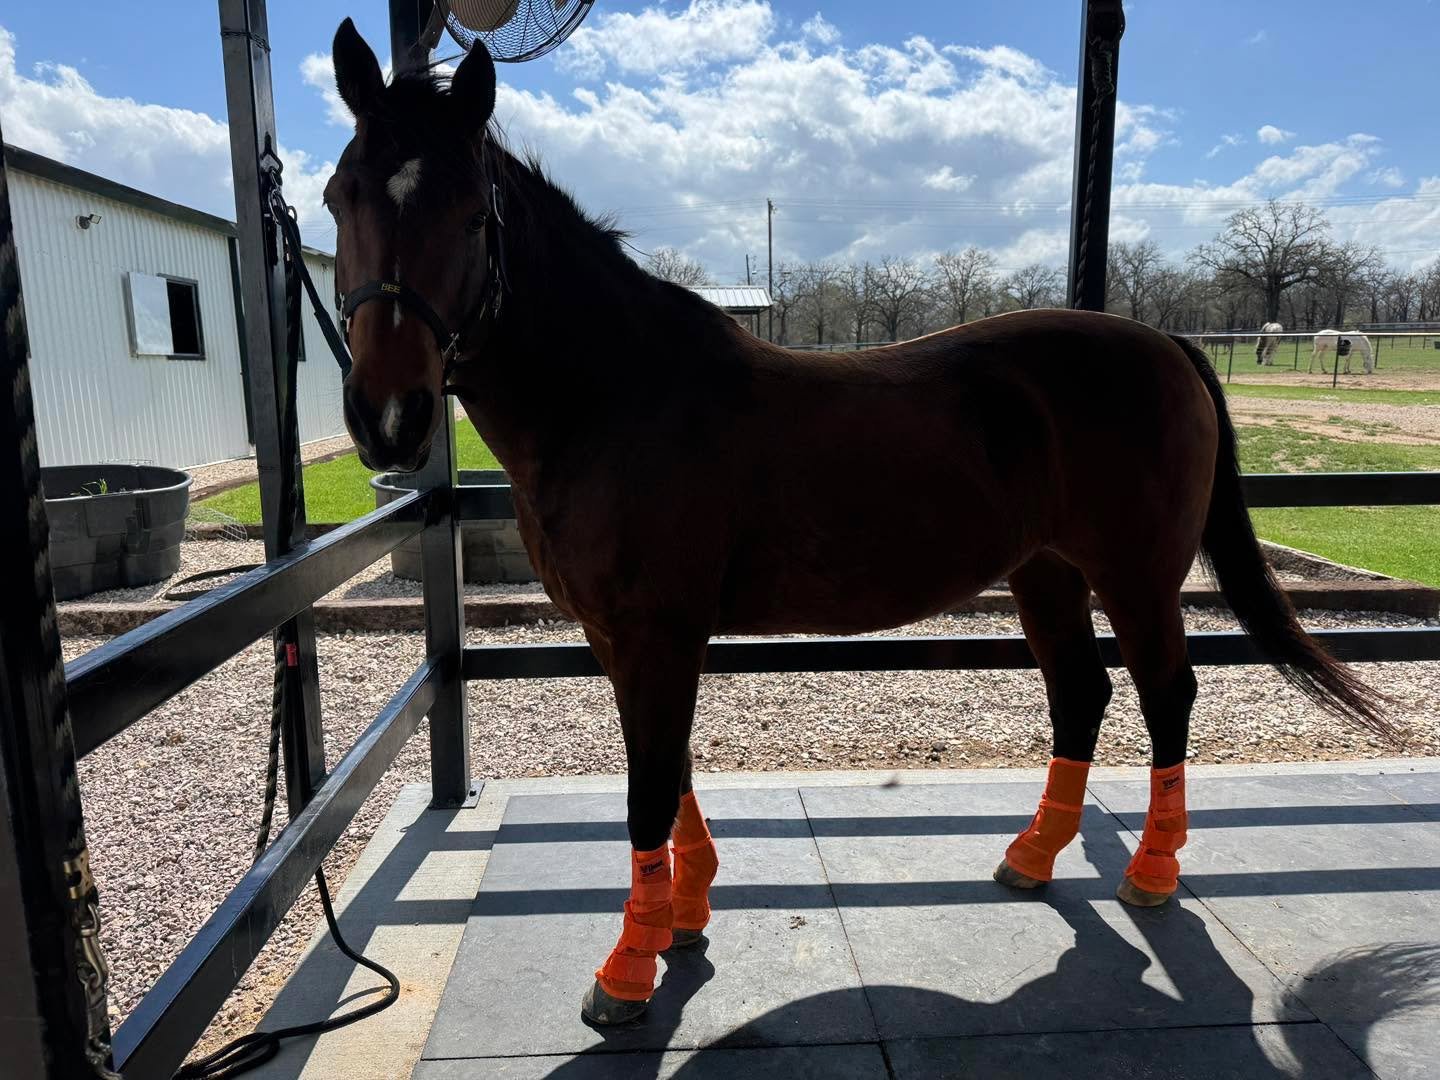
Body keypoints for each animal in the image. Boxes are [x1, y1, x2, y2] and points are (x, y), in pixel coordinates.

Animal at [325, 21, 1389, 1025]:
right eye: (340, 198)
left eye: (472, 212)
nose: (389, 418)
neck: (619, 393)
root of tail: (1163, 343)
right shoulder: (620, 637)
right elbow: (667, 771)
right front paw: (680, 919)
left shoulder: (659, 633)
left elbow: (647, 788)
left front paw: (627, 973)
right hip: (1046, 572)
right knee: (1081, 694)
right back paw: (1033, 857)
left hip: (1136, 576)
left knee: (1168, 695)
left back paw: (1152, 873)